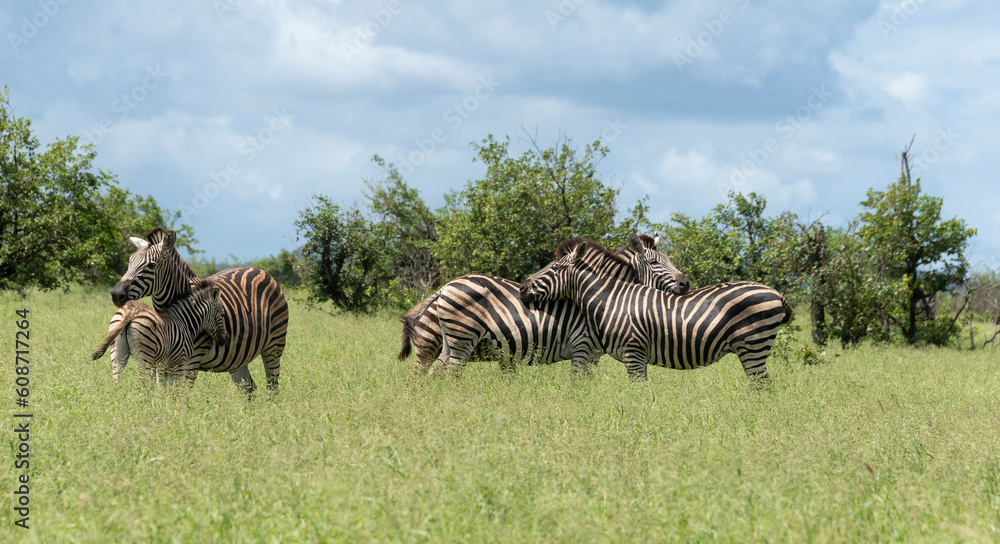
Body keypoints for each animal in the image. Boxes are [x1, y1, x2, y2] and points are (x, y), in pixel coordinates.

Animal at [93, 284, 229, 385]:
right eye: (222, 314)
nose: (224, 339)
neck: (184, 322)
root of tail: (132, 310)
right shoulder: (179, 363)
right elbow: (174, 389)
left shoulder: (162, 365)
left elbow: (162, 387)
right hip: (145, 354)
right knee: (142, 381)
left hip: (118, 352)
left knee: (117, 379)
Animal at [110, 228, 289, 394]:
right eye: (129, 262)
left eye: (151, 265)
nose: (116, 295)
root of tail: (259, 270)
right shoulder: (161, 360)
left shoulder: (191, 359)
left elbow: (181, 393)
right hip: (238, 357)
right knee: (249, 388)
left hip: (274, 346)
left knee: (273, 387)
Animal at [398, 233, 690, 377]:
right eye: (655, 263)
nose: (686, 283)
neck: (604, 295)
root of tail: (444, 287)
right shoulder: (582, 347)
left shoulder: (594, 355)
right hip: (451, 340)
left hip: (451, 342)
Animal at [519, 237, 793, 381]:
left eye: (554, 268)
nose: (522, 287)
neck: (612, 297)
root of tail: (776, 292)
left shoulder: (631, 352)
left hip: (752, 345)